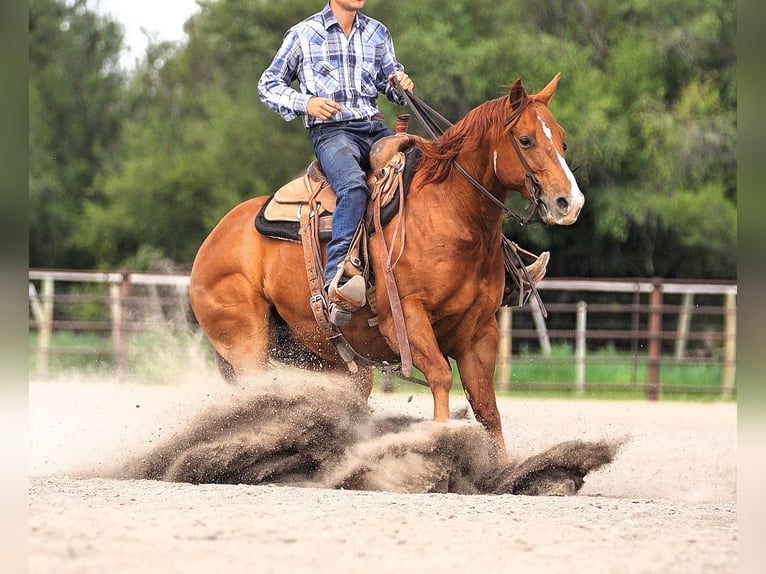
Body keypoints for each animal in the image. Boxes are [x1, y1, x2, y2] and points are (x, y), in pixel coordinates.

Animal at [189, 73, 584, 464]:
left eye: (563, 139)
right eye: (526, 139)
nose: (570, 202)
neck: (451, 212)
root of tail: (211, 244)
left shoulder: (478, 332)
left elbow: (487, 407)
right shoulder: (404, 317)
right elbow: (441, 377)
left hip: (326, 354)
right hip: (247, 346)